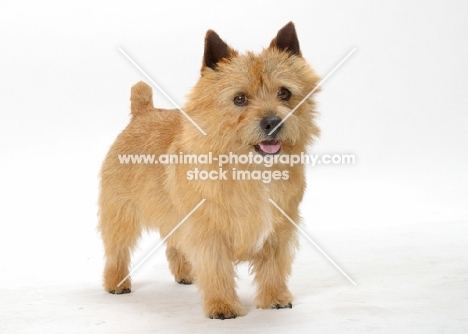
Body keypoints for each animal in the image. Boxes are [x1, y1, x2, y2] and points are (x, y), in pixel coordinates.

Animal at [100, 22, 320, 320]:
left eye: (284, 93)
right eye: (239, 98)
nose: (273, 122)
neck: (250, 169)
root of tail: (143, 113)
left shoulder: (279, 228)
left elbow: (274, 266)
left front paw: (275, 298)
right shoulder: (208, 231)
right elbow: (217, 269)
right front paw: (223, 305)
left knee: (174, 245)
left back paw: (184, 273)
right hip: (121, 213)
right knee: (117, 249)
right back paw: (116, 282)